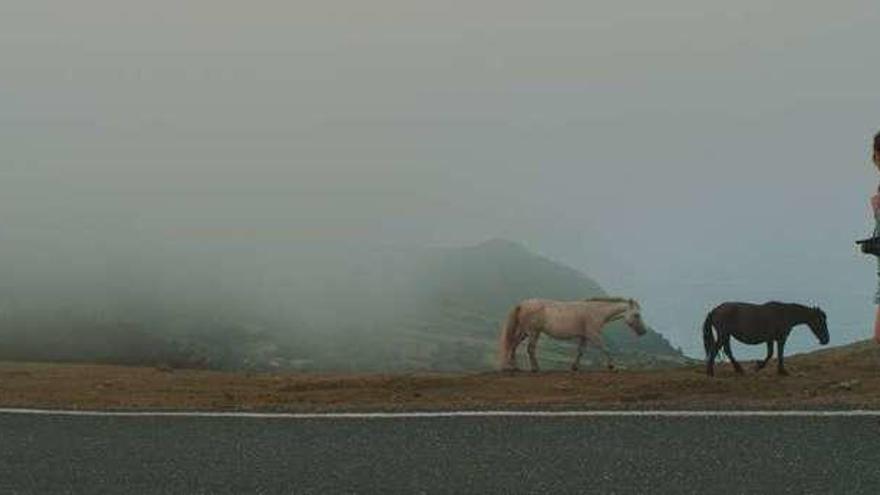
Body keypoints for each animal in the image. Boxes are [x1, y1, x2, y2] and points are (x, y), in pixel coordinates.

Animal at [498, 298, 648, 372]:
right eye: (637, 314)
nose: (643, 331)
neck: (597, 312)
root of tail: (522, 304)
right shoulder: (593, 334)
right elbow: (605, 348)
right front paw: (612, 366)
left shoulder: (584, 336)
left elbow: (580, 351)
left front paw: (574, 367)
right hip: (533, 332)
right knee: (529, 349)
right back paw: (535, 368)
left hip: (525, 332)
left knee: (513, 345)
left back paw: (514, 367)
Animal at [700, 302, 832, 380]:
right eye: (820, 321)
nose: (826, 340)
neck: (785, 314)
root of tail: (714, 311)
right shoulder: (780, 338)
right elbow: (778, 354)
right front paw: (781, 371)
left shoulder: (770, 339)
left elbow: (770, 353)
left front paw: (761, 366)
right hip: (723, 334)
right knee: (716, 349)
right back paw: (710, 372)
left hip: (726, 335)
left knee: (727, 350)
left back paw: (738, 369)